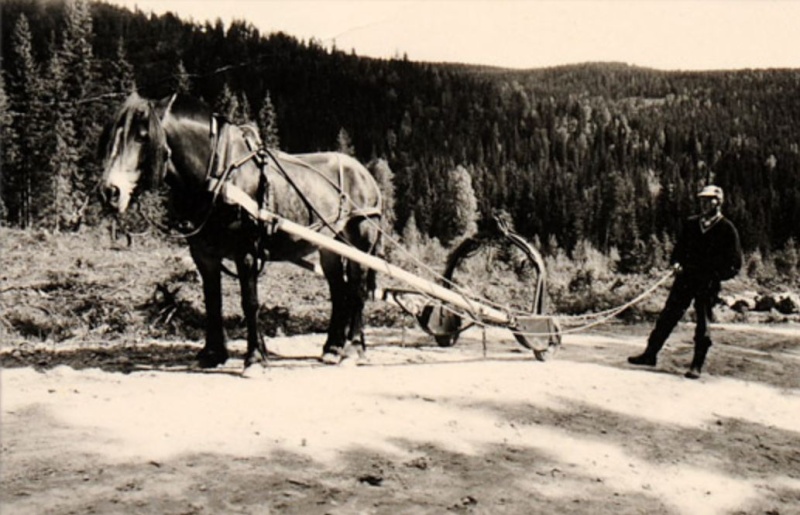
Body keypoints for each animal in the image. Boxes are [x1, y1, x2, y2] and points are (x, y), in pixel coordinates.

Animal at [98, 91, 386, 366]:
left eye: (142, 136)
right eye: (110, 136)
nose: (109, 192)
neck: (217, 171)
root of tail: (364, 173)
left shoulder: (245, 250)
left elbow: (250, 302)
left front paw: (255, 357)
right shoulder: (203, 254)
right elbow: (213, 301)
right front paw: (213, 353)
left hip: (359, 244)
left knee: (357, 291)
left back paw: (353, 348)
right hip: (329, 248)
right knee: (339, 292)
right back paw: (333, 348)